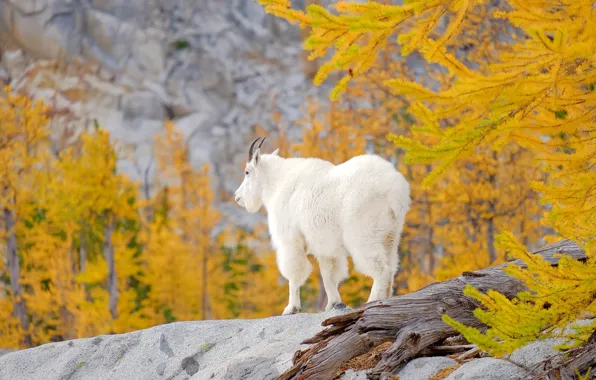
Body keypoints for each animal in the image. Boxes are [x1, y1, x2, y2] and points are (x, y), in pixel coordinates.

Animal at [233, 137, 410, 314]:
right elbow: (328, 275)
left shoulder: (291, 241)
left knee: (381, 269)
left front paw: (291, 308)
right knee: (391, 266)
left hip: (364, 234)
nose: (237, 197)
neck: (277, 184)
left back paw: (373, 301)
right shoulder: (325, 247)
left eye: (247, 172)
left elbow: (295, 273)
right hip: (391, 235)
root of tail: (394, 190)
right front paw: (332, 304)